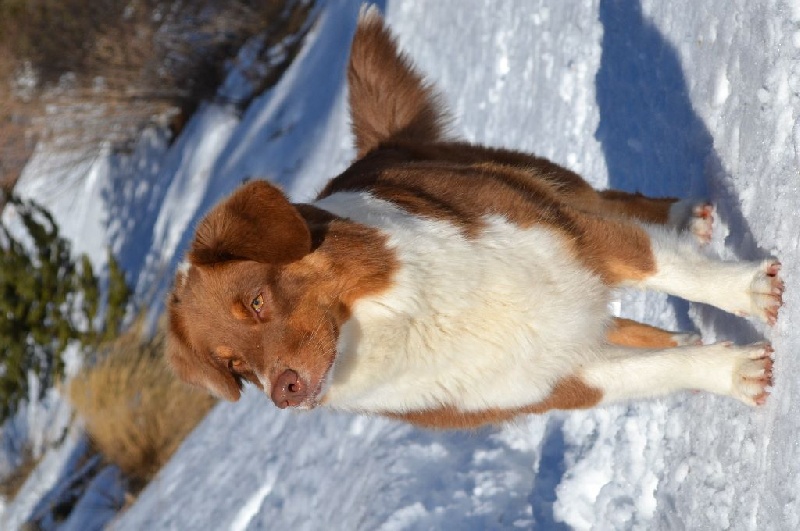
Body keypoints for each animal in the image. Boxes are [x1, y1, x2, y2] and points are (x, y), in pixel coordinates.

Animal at [166, 7, 784, 432]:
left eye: (255, 301)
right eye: (234, 365)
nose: (284, 392)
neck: (410, 322)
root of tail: (373, 153)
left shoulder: (562, 232)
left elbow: (665, 266)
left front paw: (748, 290)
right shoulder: (559, 380)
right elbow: (655, 371)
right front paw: (731, 373)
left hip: (532, 179)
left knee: (606, 200)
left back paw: (683, 217)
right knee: (636, 330)